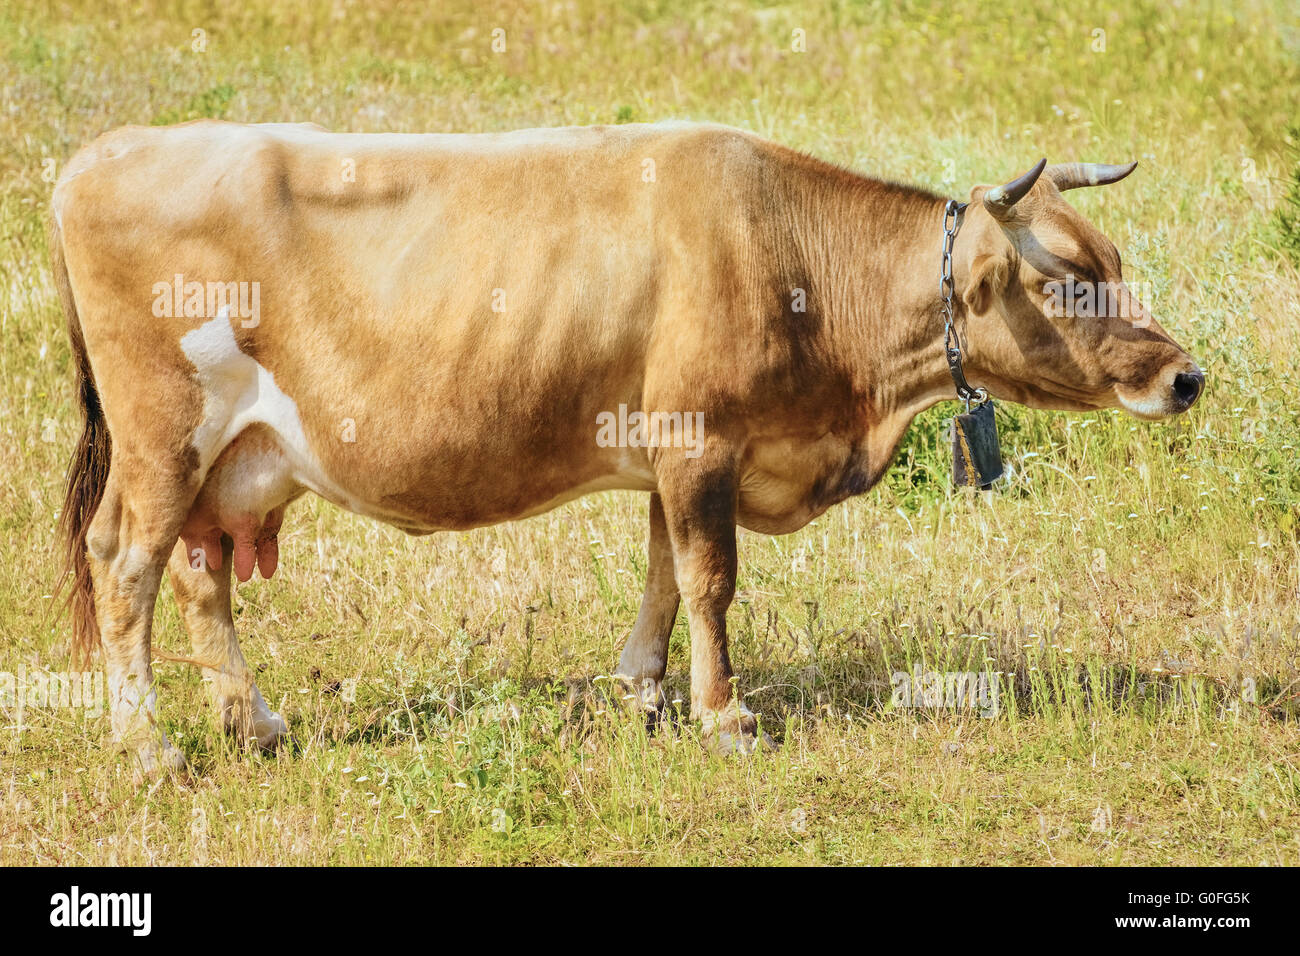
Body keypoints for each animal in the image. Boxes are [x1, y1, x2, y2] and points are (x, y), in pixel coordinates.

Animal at [50, 120, 1203, 774]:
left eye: (1110, 255)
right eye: (1066, 273)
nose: (1184, 375)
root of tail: (97, 156)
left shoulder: (673, 450)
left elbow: (660, 571)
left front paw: (646, 691)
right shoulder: (701, 438)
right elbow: (710, 577)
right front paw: (724, 715)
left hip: (231, 458)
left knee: (200, 572)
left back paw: (255, 723)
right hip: (164, 434)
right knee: (125, 563)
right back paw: (147, 745)